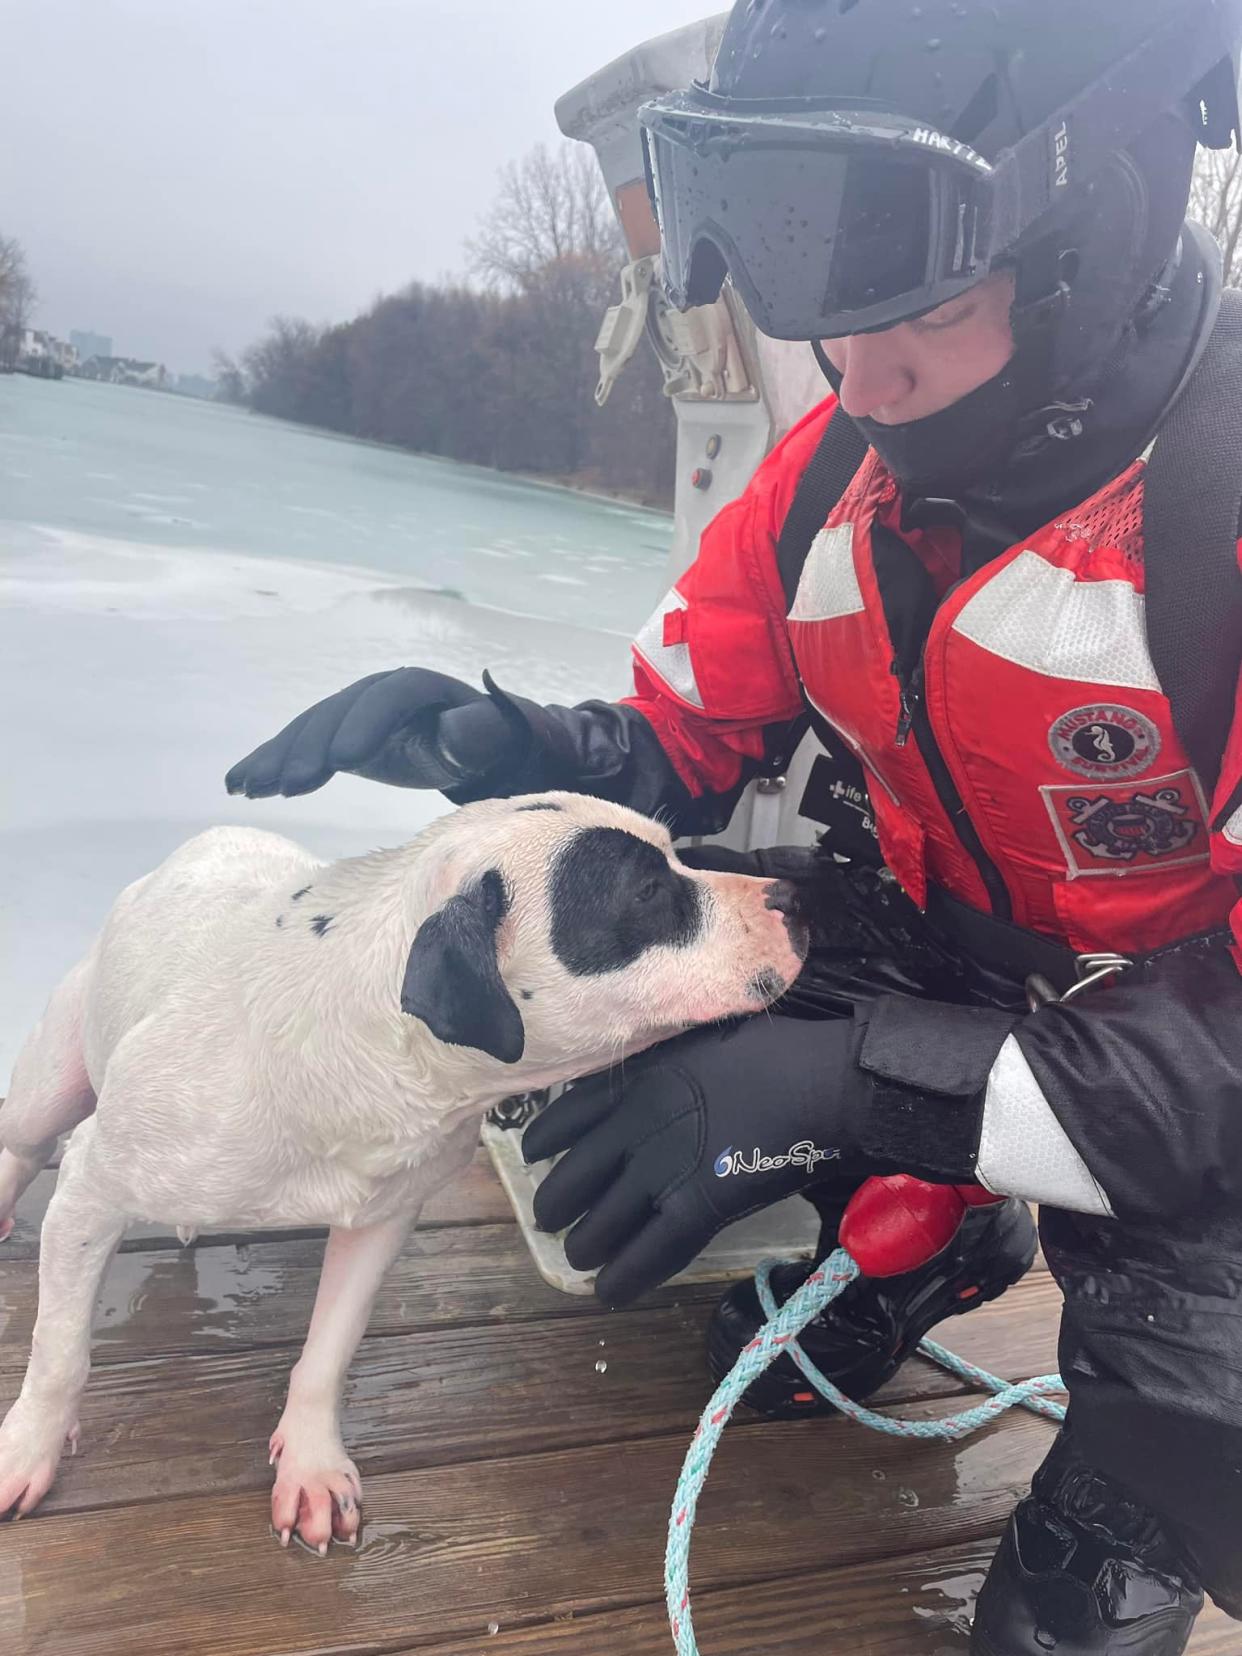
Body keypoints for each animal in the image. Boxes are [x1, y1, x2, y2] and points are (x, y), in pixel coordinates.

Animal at [0, 794, 808, 1543]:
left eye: (679, 855)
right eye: (645, 892)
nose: (795, 894)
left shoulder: (379, 1222)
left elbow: (329, 1351)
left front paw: (311, 1460)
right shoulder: (91, 1189)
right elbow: (59, 1352)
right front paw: (29, 1446)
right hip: (49, 1089)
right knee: (23, 1143)